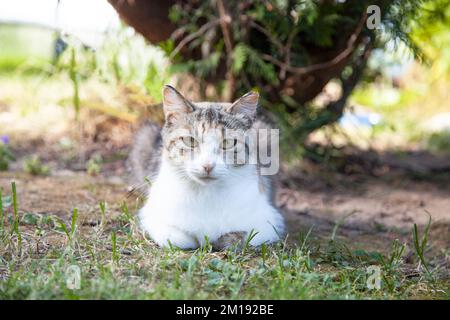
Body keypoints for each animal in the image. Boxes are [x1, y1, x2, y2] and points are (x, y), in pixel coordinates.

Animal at [130, 85, 284, 250]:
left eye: (228, 143)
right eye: (190, 141)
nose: (208, 166)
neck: (206, 193)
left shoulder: (269, 223)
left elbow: (239, 237)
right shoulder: (153, 217)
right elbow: (180, 239)